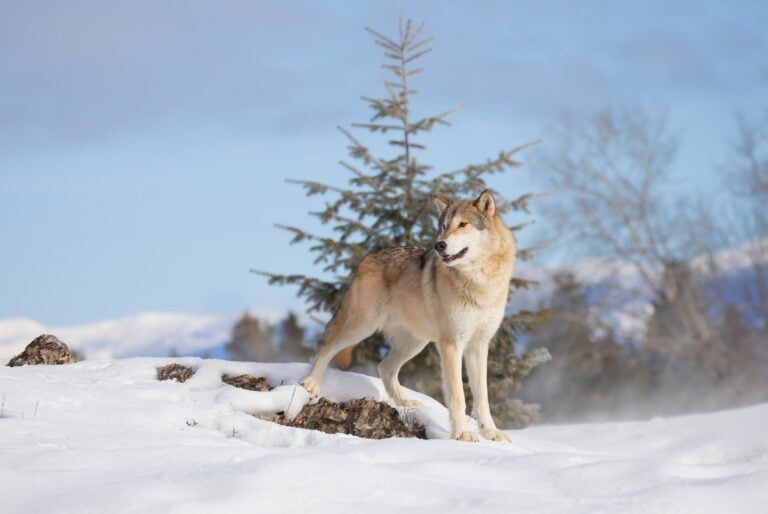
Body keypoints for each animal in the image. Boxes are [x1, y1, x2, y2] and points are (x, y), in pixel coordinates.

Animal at [300, 189, 516, 442]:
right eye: (443, 226)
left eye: (463, 224)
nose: (439, 245)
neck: (480, 282)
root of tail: (365, 259)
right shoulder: (452, 344)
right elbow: (458, 396)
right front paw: (462, 434)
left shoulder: (479, 345)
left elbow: (482, 397)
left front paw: (491, 433)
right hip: (363, 327)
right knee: (325, 349)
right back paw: (311, 384)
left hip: (415, 343)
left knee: (385, 368)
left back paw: (407, 403)